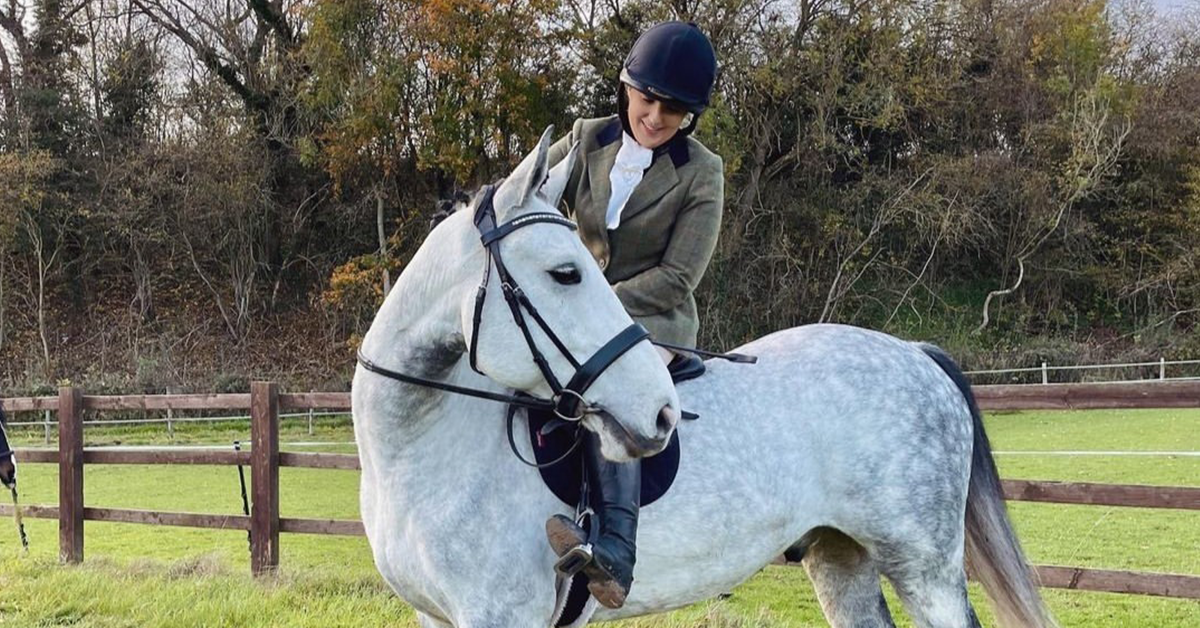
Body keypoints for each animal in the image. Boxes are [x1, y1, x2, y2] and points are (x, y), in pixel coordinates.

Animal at [350, 129, 1056, 628]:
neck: (417, 447)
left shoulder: (501, 614)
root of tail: (914, 352)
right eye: (565, 273)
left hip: (923, 565)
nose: (662, 414)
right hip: (842, 555)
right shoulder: (439, 617)